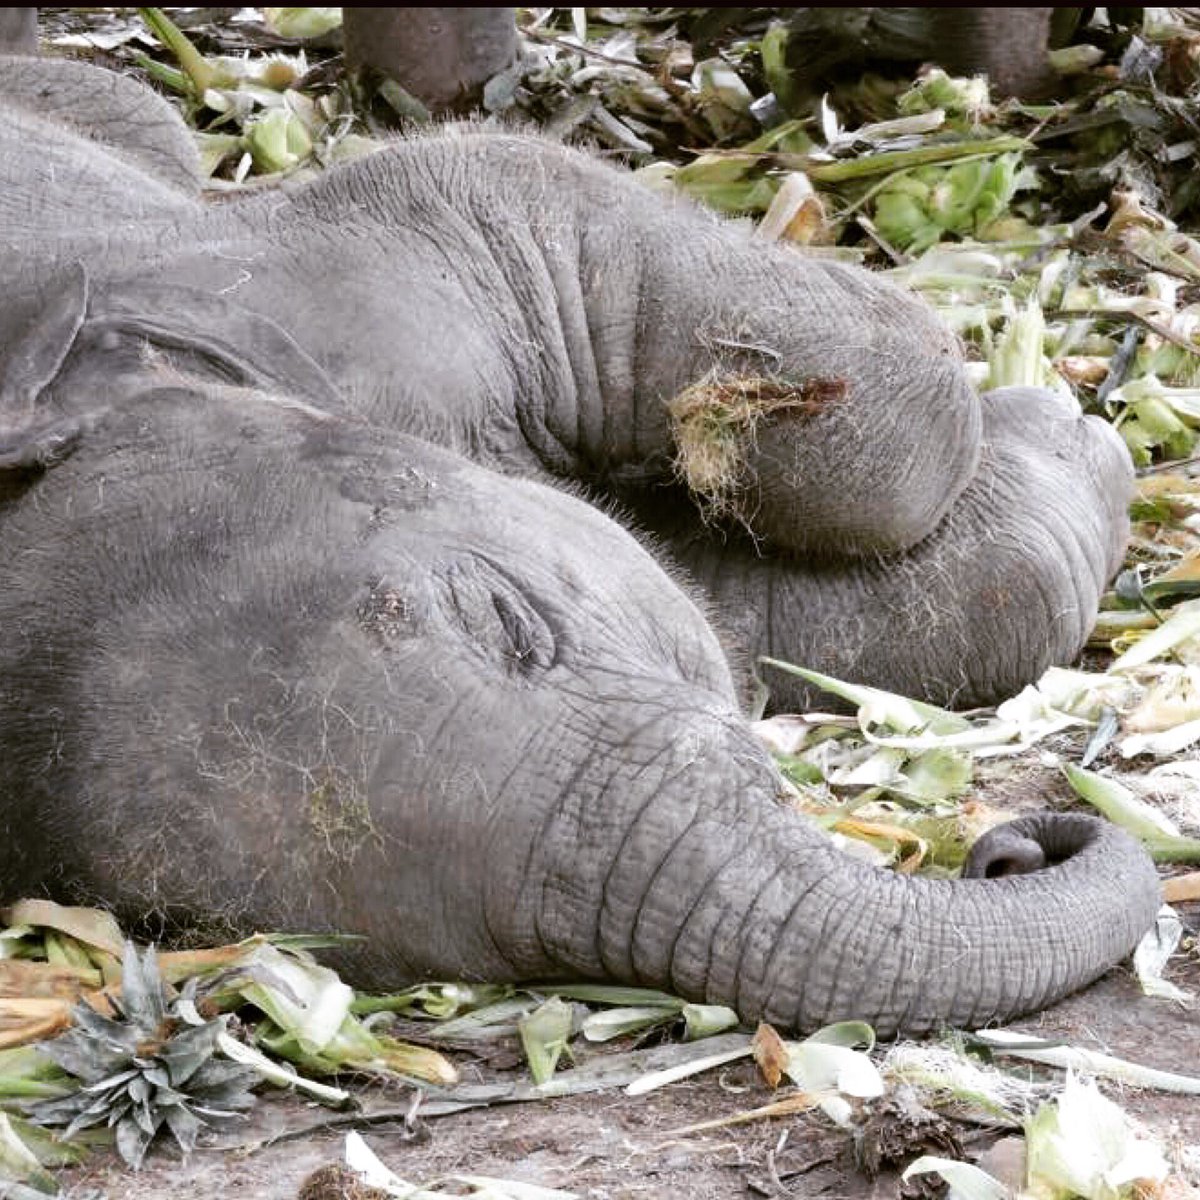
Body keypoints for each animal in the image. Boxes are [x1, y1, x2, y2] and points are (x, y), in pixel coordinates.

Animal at [0, 55, 1161, 1036]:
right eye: (178, 921)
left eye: (502, 620)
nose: (1010, 848)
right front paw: (1070, 437)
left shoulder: (367, 275)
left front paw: (1065, 423)